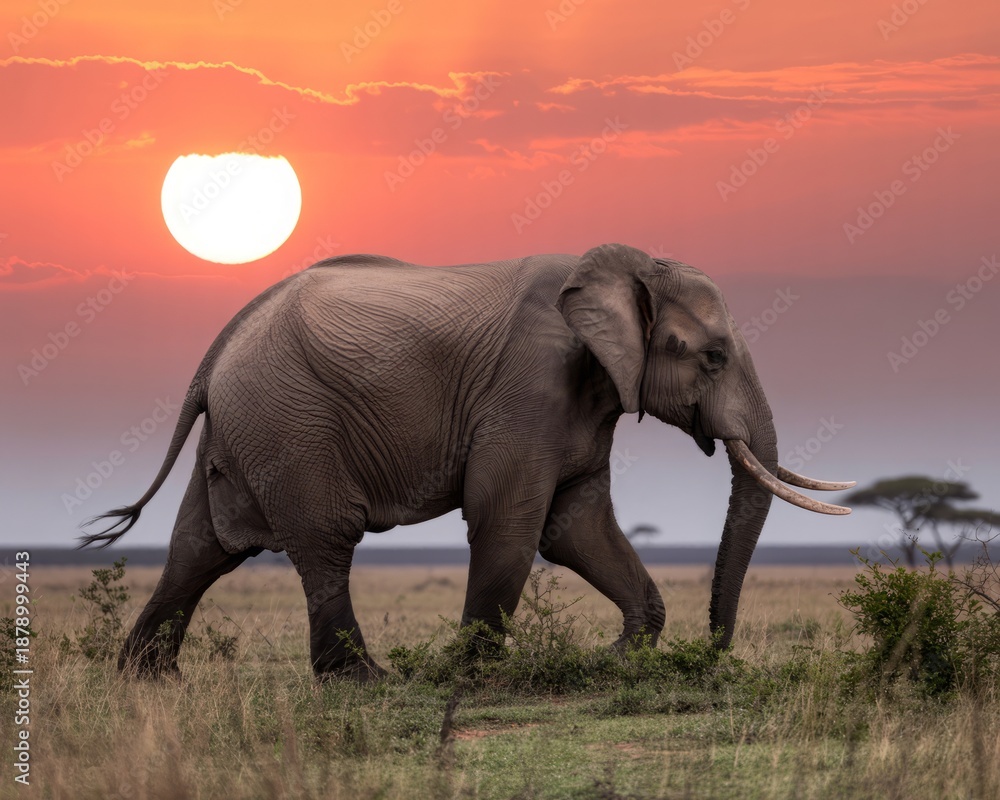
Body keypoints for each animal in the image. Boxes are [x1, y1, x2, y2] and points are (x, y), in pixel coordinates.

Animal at [80, 243, 853, 680]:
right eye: (714, 356)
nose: (715, 657)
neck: (629, 270)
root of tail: (219, 346)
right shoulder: (528, 387)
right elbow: (509, 524)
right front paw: (469, 674)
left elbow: (577, 528)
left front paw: (615, 662)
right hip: (289, 421)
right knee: (325, 541)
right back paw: (366, 680)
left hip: (246, 428)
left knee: (199, 546)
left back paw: (144, 680)